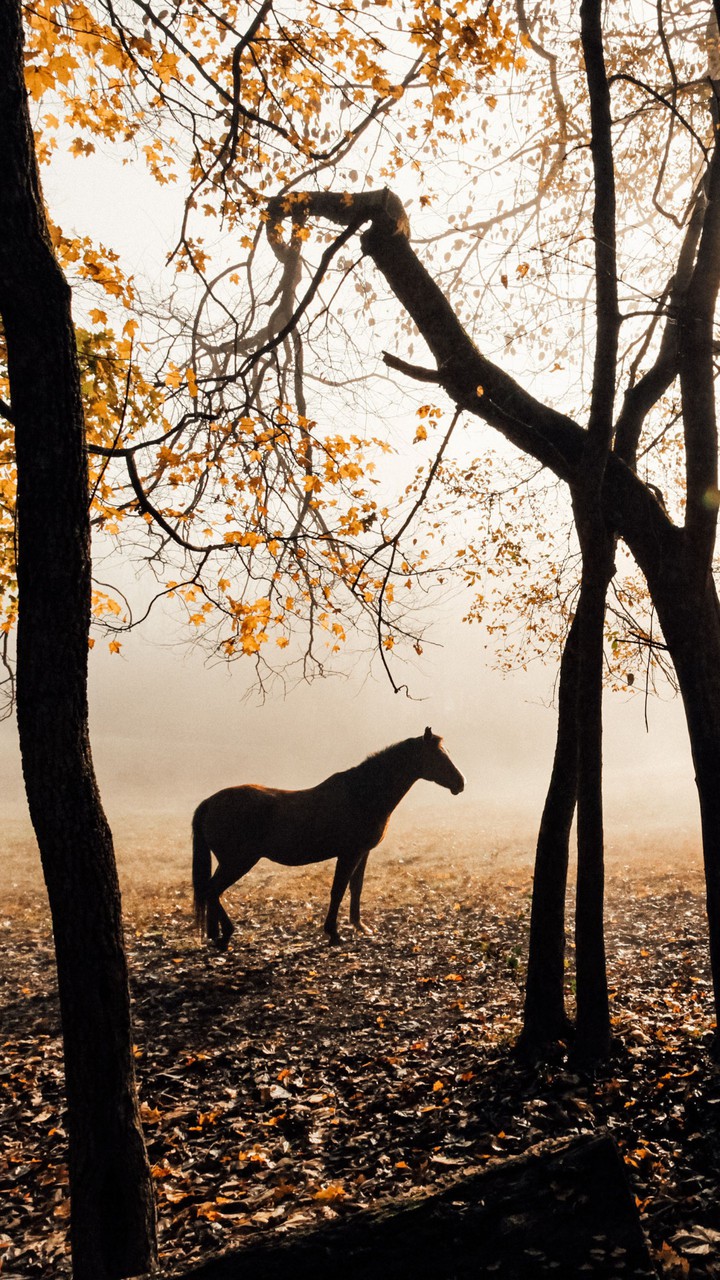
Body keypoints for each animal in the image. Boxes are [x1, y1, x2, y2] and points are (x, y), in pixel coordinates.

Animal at [192, 726, 465, 949]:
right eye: (438, 756)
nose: (460, 783)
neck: (362, 794)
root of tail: (210, 802)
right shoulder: (349, 853)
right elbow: (338, 889)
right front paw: (334, 933)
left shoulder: (362, 853)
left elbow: (356, 887)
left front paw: (360, 927)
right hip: (238, 862)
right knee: (212, 890)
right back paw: (226, 934)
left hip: (229, 862)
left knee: (211, 892)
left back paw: (216, 935)